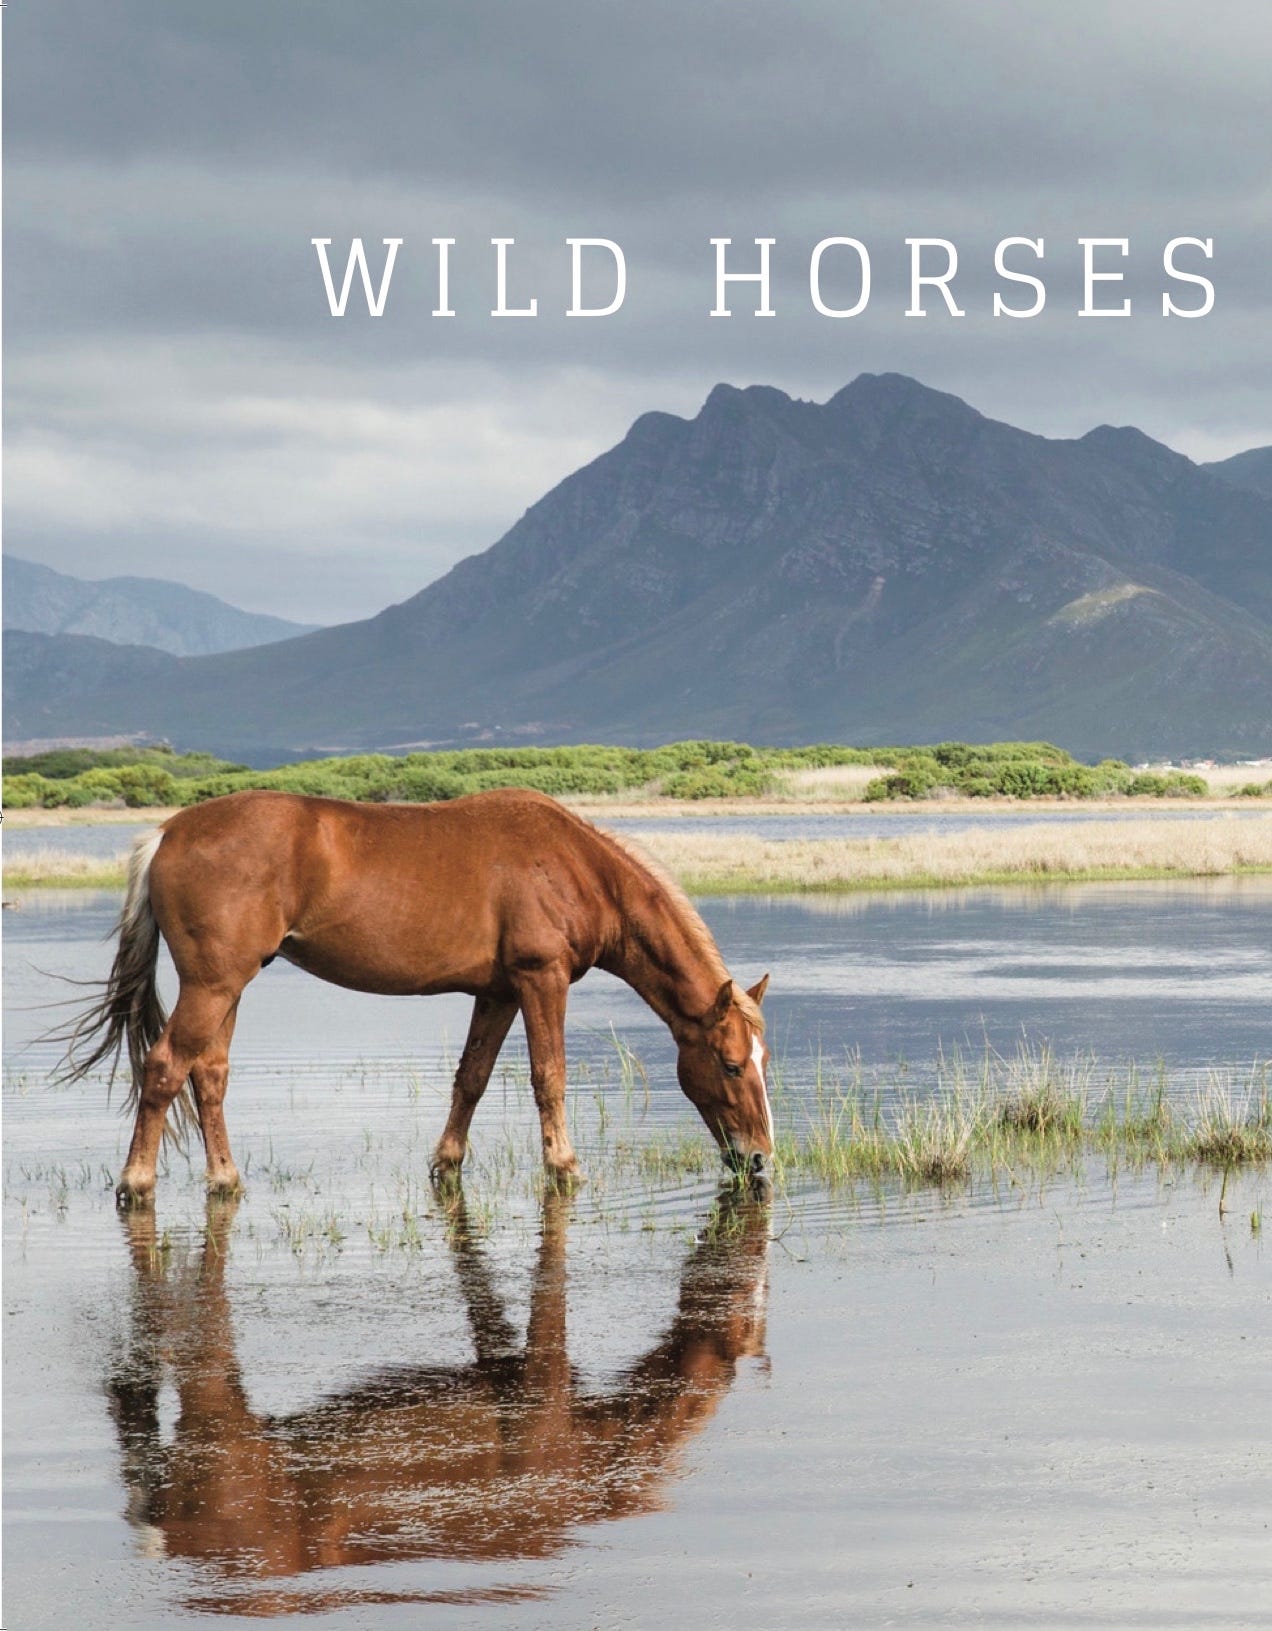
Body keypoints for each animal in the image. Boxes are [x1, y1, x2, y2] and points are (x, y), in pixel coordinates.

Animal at [61, 787, 772, 1205]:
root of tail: (167, 833)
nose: (760, 1159)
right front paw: (565, 1166)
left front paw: (447, 1163)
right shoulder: (540, 980)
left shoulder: (498, 992)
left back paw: (225, 1178)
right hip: (212, 985)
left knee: (207, 1074)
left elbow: (473, 1078)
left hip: (228, 986)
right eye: (732, 1065)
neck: (574, 865)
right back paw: (137, 1182)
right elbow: (549, 1076)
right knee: (164, 1068)